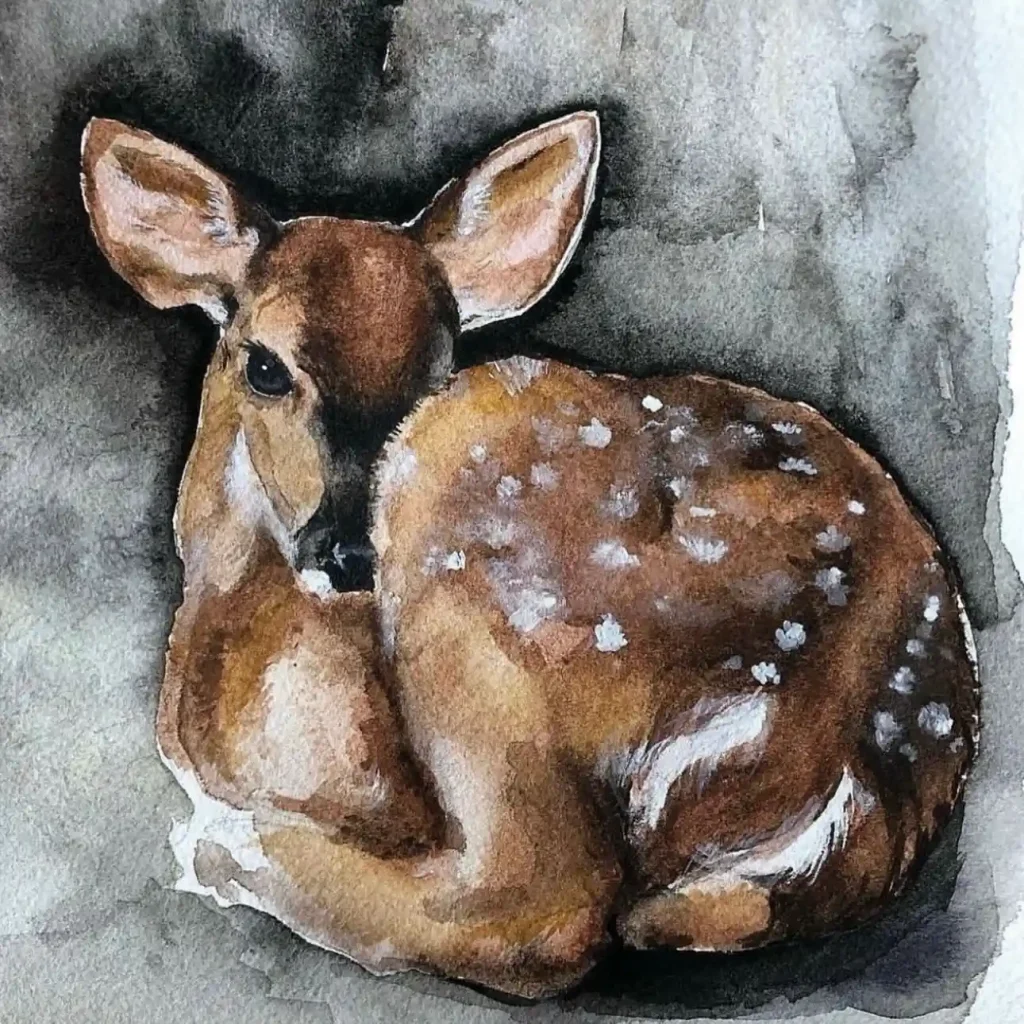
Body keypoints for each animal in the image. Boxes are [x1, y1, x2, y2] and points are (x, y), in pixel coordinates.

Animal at [80, 109, 979, 1000]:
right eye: (264, 366)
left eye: (437, 365)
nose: (349, 554)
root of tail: (858, 752)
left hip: (477, 610)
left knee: (545, 905)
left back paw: (224, 849)